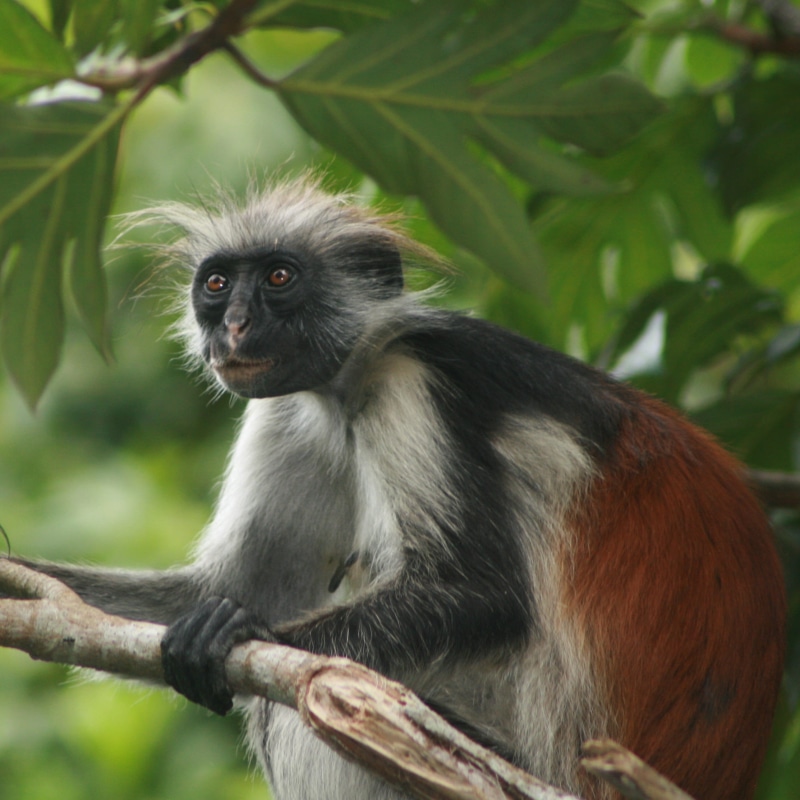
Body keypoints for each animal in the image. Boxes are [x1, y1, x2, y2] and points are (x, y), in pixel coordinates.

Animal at [13, 177, 785, 800]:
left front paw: (243, 633)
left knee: (300, 706)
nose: (234, 326)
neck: (347, 382)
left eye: (280, 278)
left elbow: (481, 594)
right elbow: (229, 587)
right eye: (217, 285)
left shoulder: (411, 378)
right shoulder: (290, 408)